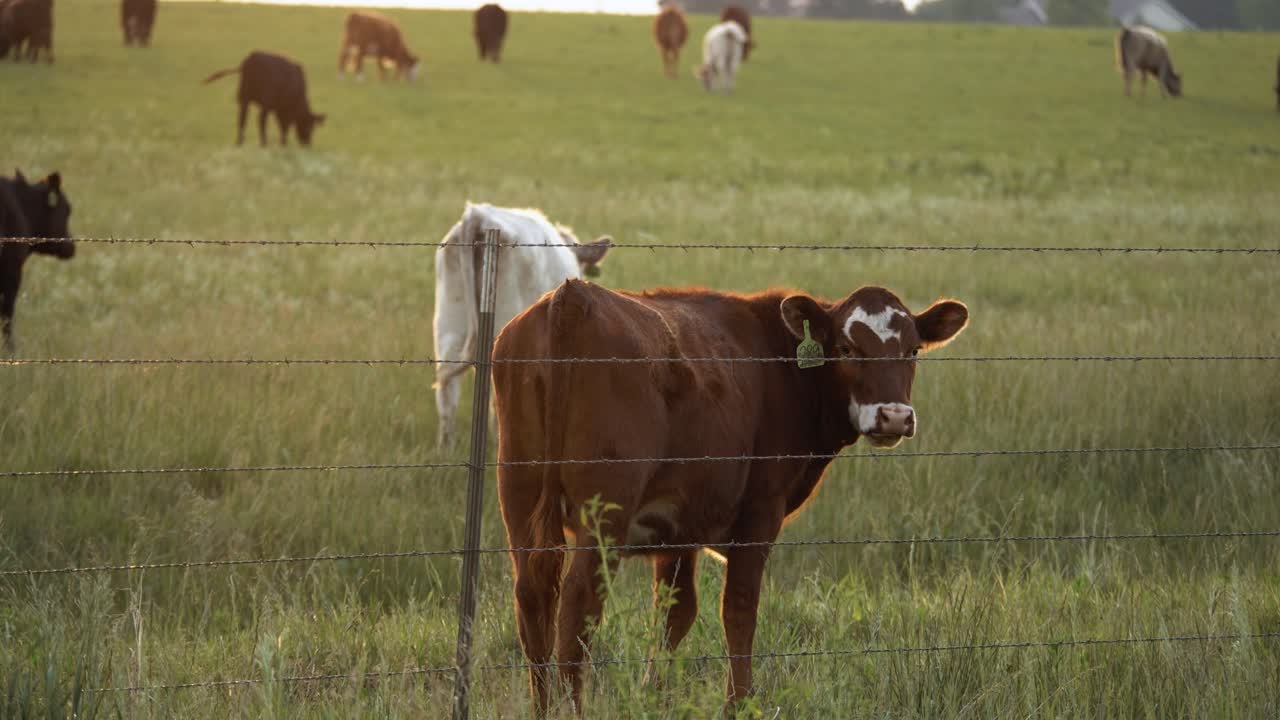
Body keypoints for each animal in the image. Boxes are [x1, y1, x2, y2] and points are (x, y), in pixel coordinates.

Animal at [493, 280, 969, 715]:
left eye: (912, 350)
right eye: (847, 348)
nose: (894, 416)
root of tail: (575, 296)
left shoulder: (678, 526)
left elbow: (675, 611)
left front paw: (655, 697)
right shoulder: (760, 511)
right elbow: (739, 607)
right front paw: (739, 702)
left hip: (519, 495)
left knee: (534, 594)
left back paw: (542, 707)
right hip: (604, 513)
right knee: (579, 601)